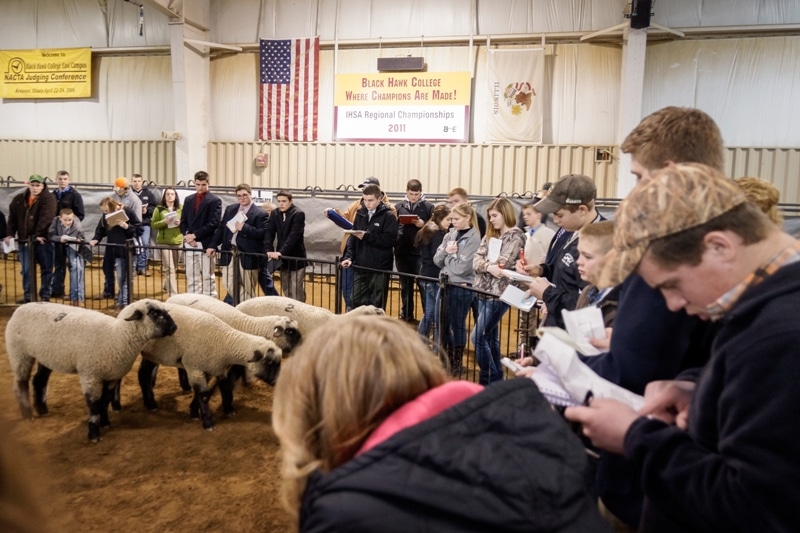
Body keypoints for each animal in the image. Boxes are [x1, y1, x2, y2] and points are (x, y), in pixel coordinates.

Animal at [6, 300, 177, 440]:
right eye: (154, 313)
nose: (174, 327)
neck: (116, 336)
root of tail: (21, 308)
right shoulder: (90, 375)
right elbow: (94, 405)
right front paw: (94, 434)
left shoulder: (111, 375)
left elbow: (105, 400)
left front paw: (105, 422)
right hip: (19, 353)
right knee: (21, 383)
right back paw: (27, 414)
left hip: (46, 356)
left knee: (39, 380)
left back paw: (42, 410)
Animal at [141, 302, 284, 430]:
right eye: (269, 362)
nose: (277, 381)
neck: (225, 341)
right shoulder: (195, 369)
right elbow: (204, 395)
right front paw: (207, 422)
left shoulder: (218, 368)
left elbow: (225, 387)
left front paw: (228, 410)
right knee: (144, 374)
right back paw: (151, 404)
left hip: (152, 355)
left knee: (144, 372)